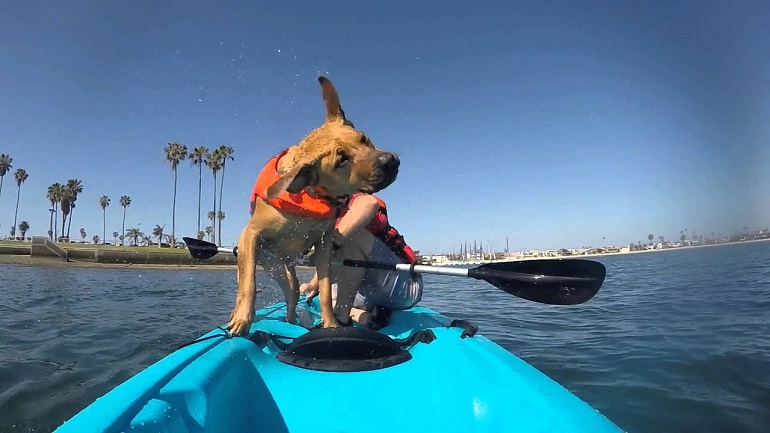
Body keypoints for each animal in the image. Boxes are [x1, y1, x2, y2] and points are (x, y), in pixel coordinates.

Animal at [225, 77, 400, 334]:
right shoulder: (252, 234)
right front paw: (243, 320)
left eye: (363, 138)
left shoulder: (324, 247)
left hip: (286, 271)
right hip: (270, 263)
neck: (309, 194)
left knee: (293, 293)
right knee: (267, 286)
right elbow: (248, 284)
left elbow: (326, 291)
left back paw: (292, 321)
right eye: (342, 161)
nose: (389, 162)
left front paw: (330, 324)